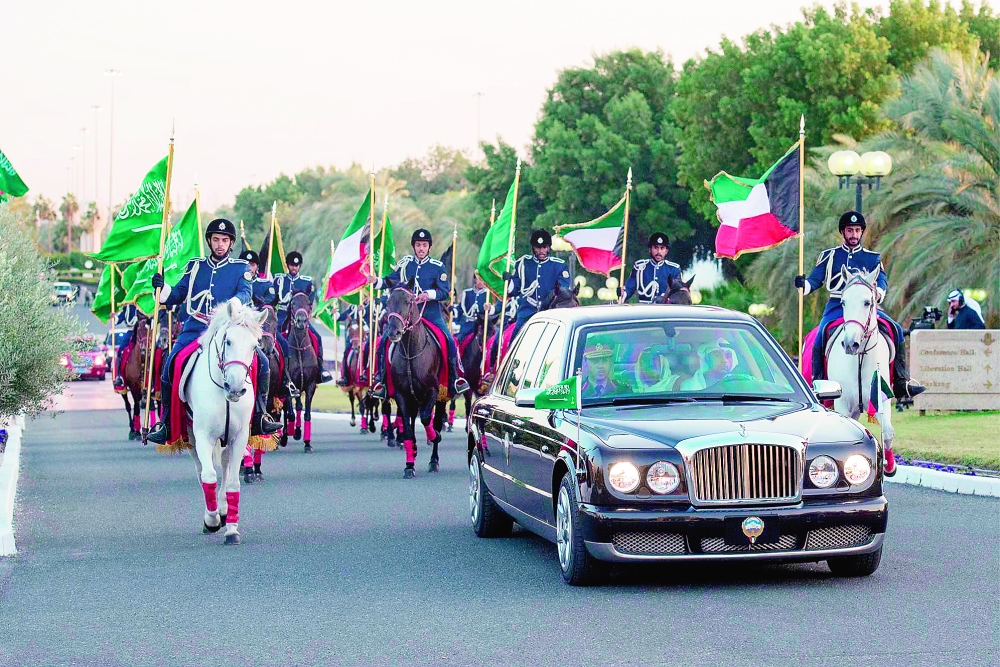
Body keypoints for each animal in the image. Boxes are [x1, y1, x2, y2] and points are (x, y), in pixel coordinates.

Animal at [187, 300, 268, 544]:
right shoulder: (202, 436)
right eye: (228, 340)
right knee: (201, 470)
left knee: (224, 467)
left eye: (254, 346)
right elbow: (208, 476)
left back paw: (223, 511)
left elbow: (232, 481)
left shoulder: (239, 437)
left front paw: (232, 530)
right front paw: (212, 520)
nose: (235, 387)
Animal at [382, 288, 446, 480]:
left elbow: (426, 419)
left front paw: (435, 437)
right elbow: (408, 428)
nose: (394, 332)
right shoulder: (402, 394)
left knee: (435, 420)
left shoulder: (433, 390)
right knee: (410, 421)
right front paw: (409, 465)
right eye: (387, 302)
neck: (411, 352)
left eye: (409, 302)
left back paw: (434, 460)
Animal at [824, 268, 896, 474]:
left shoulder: (881, 398)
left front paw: (889, 466)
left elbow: (888, 432)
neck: (860, 359)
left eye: (867, 302)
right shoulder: (842, 404)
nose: (850, 344)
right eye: (843, 302)